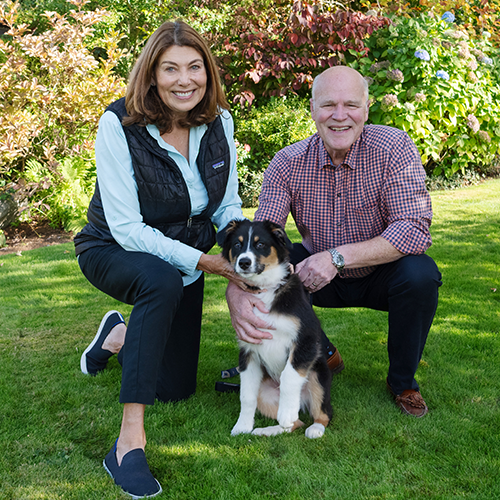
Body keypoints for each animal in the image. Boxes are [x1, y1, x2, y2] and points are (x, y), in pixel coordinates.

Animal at [222, 219, 332, 438]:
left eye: (260, 244)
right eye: (237, 244)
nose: (244, 262)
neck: (263, 290)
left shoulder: (305, 339)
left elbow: (289, 375)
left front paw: (287, 411)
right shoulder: (248, 349)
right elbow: (246, 395)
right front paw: (242, 426)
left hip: (318, 376)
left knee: (323, 413)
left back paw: (314, 428)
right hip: (264, 392)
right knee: (295, 424)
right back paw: (266, 430)